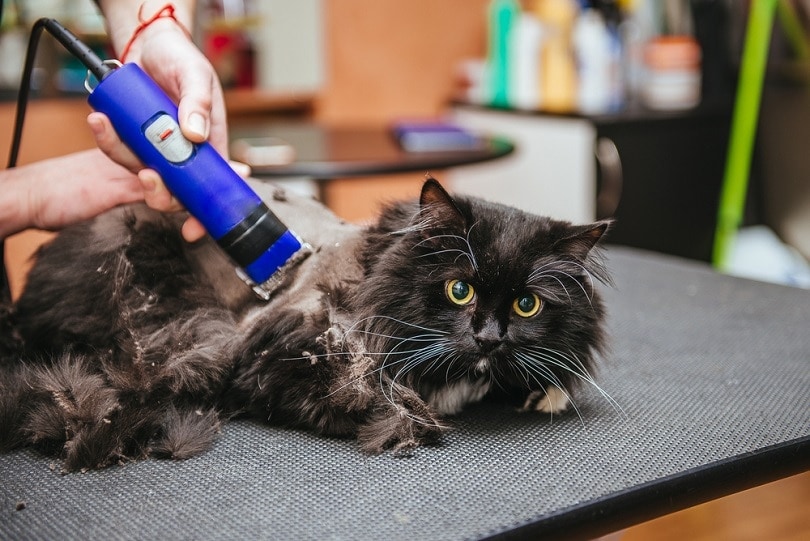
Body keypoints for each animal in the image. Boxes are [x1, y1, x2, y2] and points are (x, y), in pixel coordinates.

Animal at [0, 177, 608, 468]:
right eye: (460, 290)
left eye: (526, 306)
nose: (488, 337)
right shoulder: (276, 355)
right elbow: (360, 398)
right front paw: (406, 416)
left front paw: (540, 392)